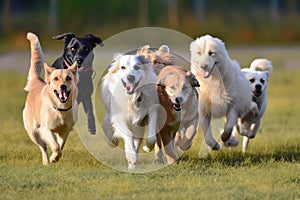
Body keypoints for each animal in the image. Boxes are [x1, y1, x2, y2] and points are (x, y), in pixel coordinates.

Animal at [22, 32, 78, 165]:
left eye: (68, 78)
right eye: (56, 78)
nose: (63, 86)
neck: (60, 109)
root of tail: (37, 83)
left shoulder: (65, 130)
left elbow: (60, 145)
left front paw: (55, 157)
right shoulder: (46, 129)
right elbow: (55, 146)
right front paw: (53, 158)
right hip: (32, 131)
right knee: (42, 146)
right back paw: (46, 161)